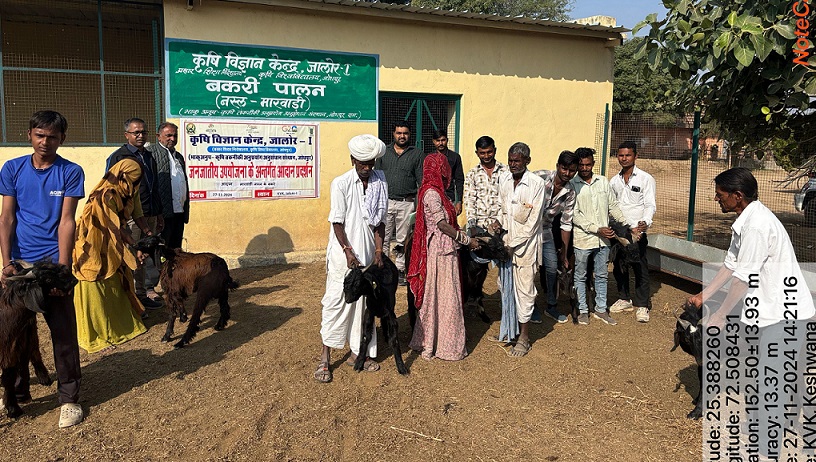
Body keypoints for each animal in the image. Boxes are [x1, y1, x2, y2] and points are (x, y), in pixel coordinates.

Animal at [0, 261, 75, 418]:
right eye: (47, 279)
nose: (73, 280)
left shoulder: (10, 350)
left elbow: (9, 378)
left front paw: (13, 409)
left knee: (33, 351)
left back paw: (43, 378)